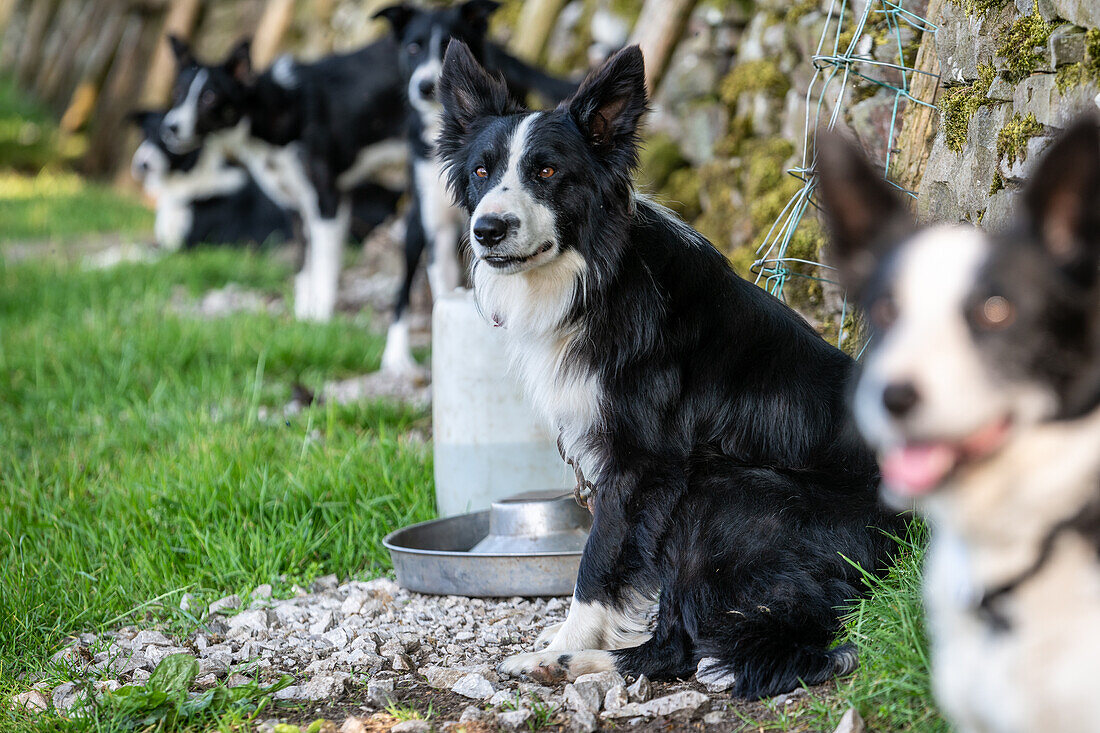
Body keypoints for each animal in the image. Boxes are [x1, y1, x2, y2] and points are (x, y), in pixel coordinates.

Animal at [129, 108, 292, 249]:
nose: (142, 165)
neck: (191, 177)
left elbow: (134, 252)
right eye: (145, 135)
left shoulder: (184, 246)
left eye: (167, 140)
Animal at [160, 36, 407, 316]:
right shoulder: (298, 207)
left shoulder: (327, 201)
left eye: (209, 97)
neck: (280, 106)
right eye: (177, 94)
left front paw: (321, 317)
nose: (169, 128)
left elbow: (323, 265)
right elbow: (303, 268)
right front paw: (303, 316)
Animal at [374, 0, 576, 374]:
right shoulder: (437, 225)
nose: (426, 86)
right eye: (413, 47)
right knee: (405, 282)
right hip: (415, 221)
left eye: (446, 45)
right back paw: (396, 355)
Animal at [433, 41, 897, 695]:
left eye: (546, 172)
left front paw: (568, 640)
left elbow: (597, 562)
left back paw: (566, 662)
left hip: (717, 489)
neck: (600, 275)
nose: (487, 230)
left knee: (677, 650)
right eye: (481, 171)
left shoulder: (641, 463)